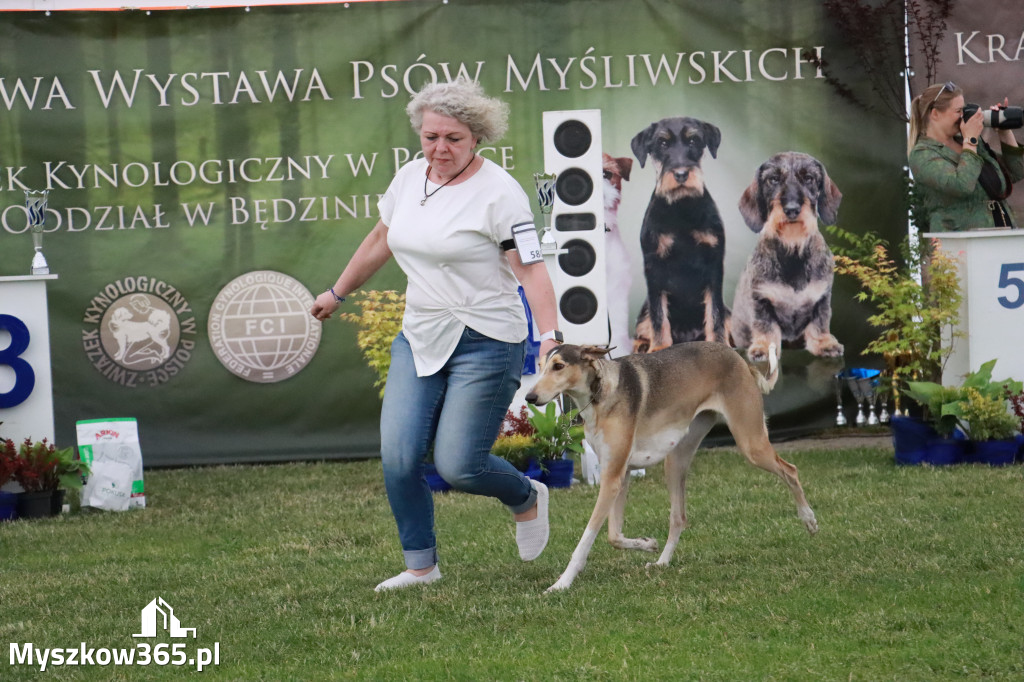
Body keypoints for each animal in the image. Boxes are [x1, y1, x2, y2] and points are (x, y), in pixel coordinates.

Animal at [524, 342, 819, 585]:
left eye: (558, 366)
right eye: (540, 366)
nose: (529, 398)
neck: (600, 393)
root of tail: (737, 357)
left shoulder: (612, 478)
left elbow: (588, 538)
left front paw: (561, 584)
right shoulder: (620, 475)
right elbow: (614, 536)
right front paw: (646, 543)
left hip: (752, 444)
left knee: (790, 471)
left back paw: (809, 520)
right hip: (676, 461)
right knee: (678, 518)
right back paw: (662, 562)